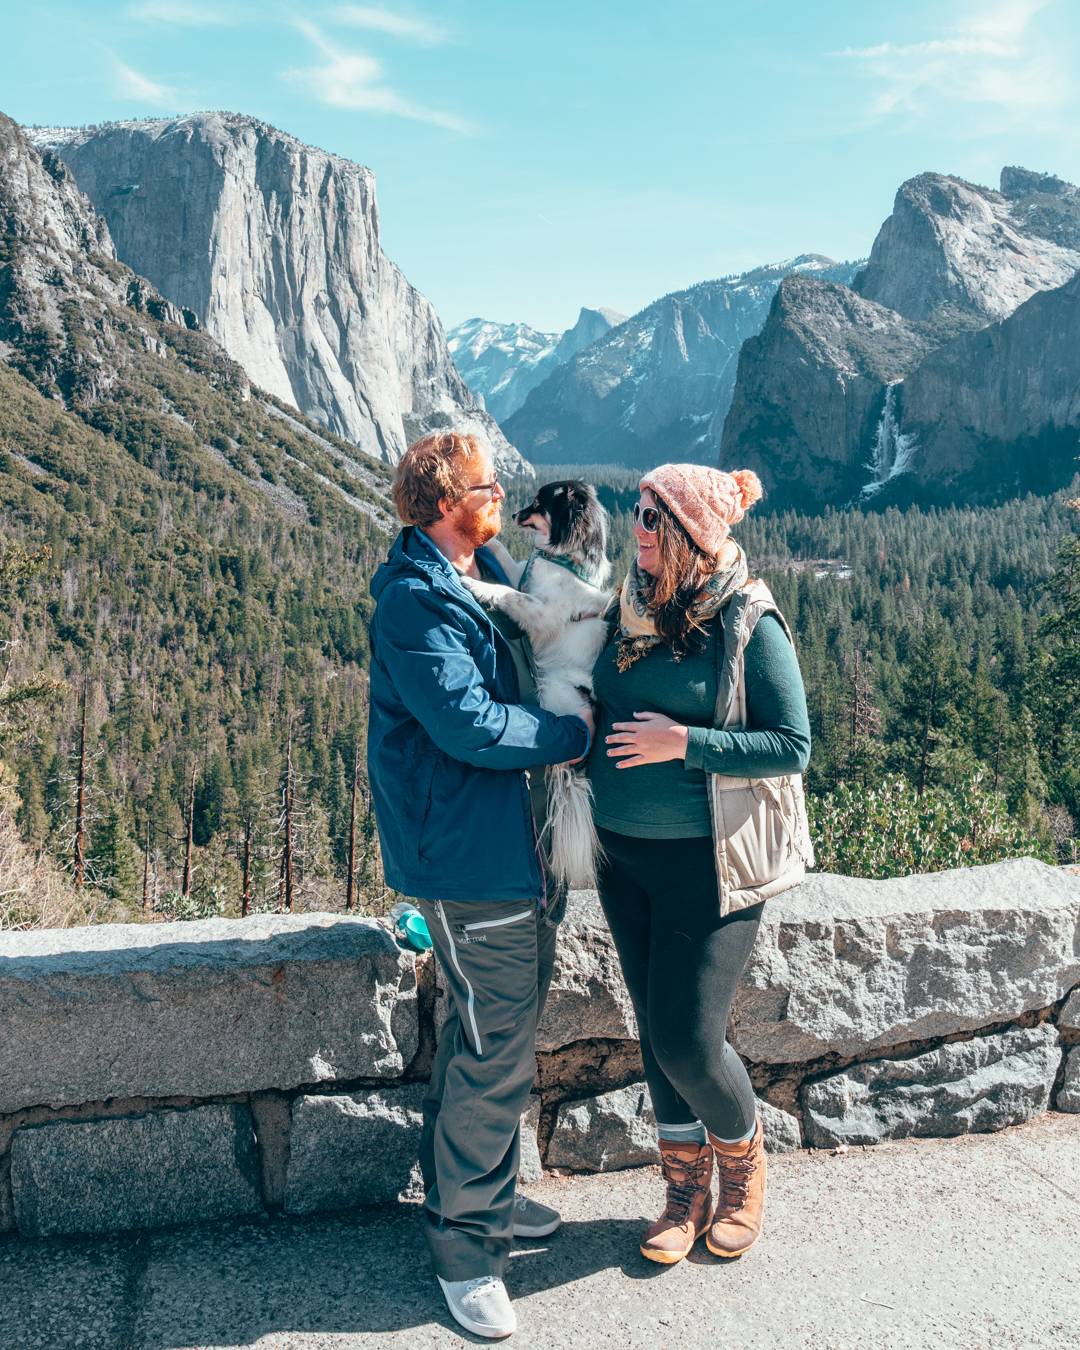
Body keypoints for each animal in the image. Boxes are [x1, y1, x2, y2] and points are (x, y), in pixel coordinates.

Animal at [459, 480, 612, 891]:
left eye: (538, 503)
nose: (512, 513)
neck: (559, 557)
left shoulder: (542, 611)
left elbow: (509, 593)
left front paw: (473, 583)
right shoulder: (523, 575)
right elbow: (508, 565)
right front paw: (489, 541)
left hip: (555, 690)